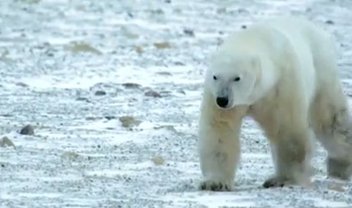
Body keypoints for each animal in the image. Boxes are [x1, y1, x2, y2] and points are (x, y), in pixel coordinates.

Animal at [198, 17, 352, 191]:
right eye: (215, 76)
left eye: (237, 78)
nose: (222, 99)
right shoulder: (218, 98)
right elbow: (220, 130)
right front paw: (215, 182)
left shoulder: (282, 85)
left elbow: (288, 131)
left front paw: (283, 179)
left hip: (321, 70)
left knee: (330, 119)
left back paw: (340, 165)